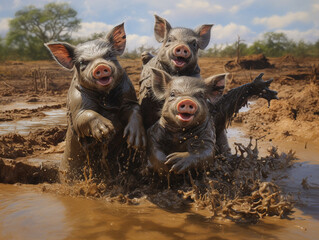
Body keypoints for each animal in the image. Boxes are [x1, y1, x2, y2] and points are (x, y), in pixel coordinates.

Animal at [44, 23, 146, 181]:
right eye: (82, 62)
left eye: (109, 55)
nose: (101, 66)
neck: (104, 97)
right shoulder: (77, 103)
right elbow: (84, 115)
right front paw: (106, 131)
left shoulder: (128, 95)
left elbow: (134, 109)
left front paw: (134, 141)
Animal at [148, 68, 278, 175]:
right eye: (172, 94)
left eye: (200, 95)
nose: (187, 100)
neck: (180, 133)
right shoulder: (155, 132)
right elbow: (153, 148)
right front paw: (166, 164)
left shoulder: (207, 135)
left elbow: (206, 152)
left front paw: (174, 161)